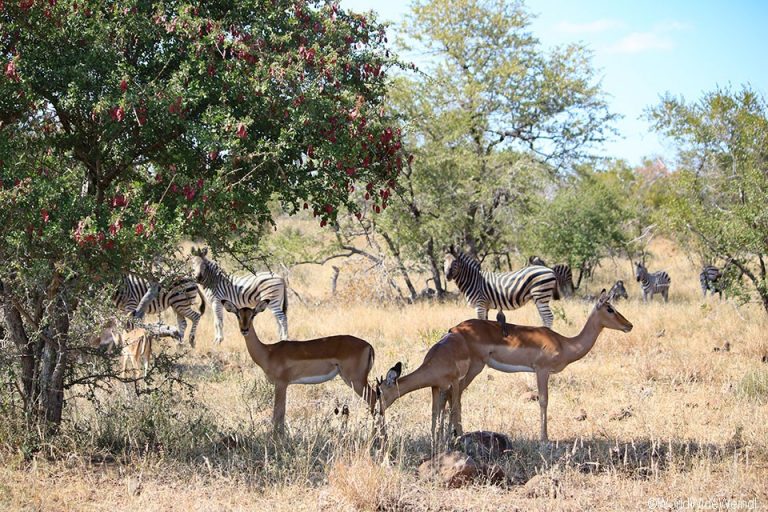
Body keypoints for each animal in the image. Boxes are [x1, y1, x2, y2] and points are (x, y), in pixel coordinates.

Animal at [220, 298, 376, 434]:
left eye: (253, 315)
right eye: (237, 314)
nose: (244, 329)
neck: (268, 352)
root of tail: (368, 345)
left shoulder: (281, 384)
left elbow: (278, 414)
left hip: (356, 380)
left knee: (374, 398)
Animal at [448, 290, 632, 442]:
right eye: (610, 309)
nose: (629, 325)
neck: (565, 344)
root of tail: (455, 329)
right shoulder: (542, 370)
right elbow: (544, 400)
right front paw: (544, 438)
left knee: (453, 394)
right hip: (475, 367)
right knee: (455, 395)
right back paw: (459, 433)